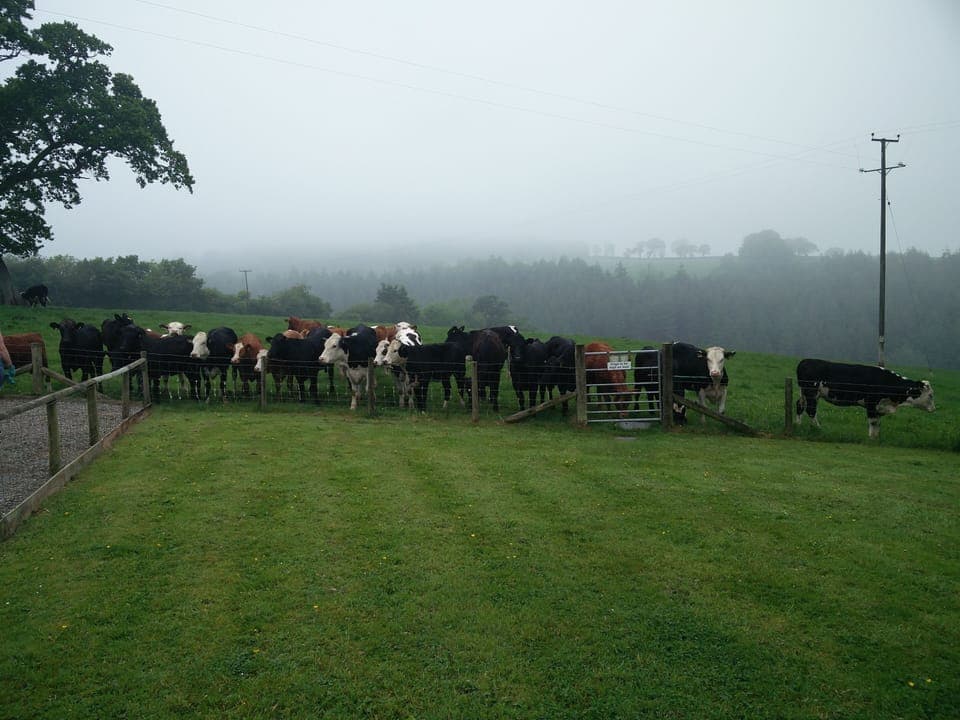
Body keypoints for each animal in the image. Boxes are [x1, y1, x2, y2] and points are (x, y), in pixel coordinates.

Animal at [796, 359, 935, 438]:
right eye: (930, 395)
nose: (934, 409)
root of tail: (805, 361)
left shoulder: (880, 406)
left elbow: (878, 422)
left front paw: (876, 437)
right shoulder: (871, 403)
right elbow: (873, 421)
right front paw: (871, 438)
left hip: (804, 393)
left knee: (799, 405)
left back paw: (798, 424)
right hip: (811, 393)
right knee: (811, 410)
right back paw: (818, 428)